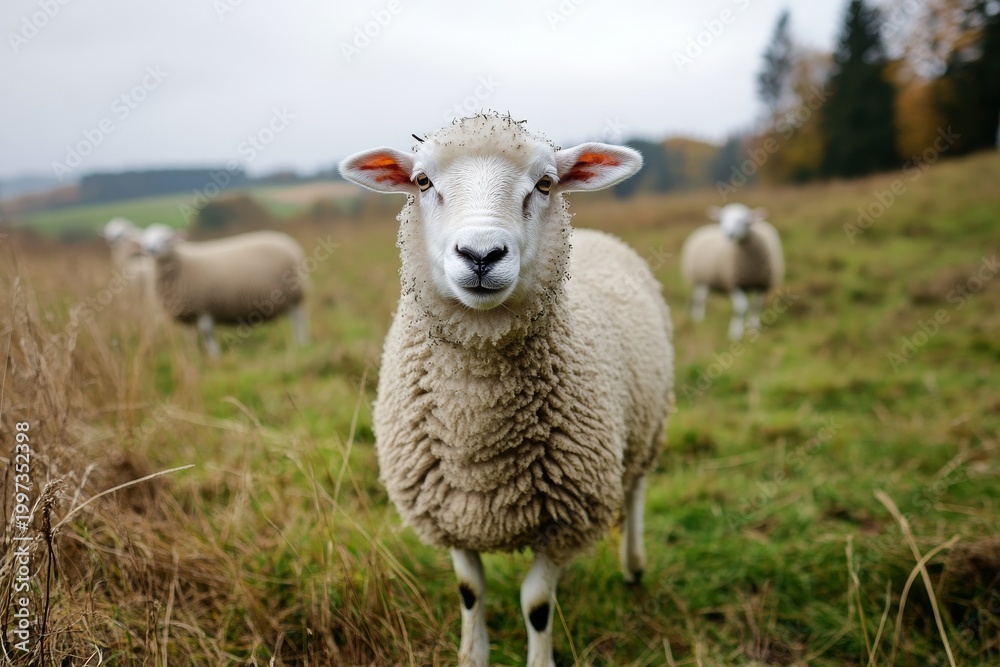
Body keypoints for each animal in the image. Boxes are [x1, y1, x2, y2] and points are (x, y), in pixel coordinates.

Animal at [140, 224, 309, 357]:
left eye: (166, 238)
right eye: (146, 238)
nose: (151, 249)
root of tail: (291, 245)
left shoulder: (203, 304)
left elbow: (207, 332)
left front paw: (214, 356)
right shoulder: (186, 314)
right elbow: (189, 337)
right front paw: (192, 356)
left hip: (293, 294)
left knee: (299, 318)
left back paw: (302, 343)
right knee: (294, 318)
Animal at [339, 112, 674, 667]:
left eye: (545, 183)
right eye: (422, 181)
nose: (481, 254)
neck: (477, 418)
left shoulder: (566, 520)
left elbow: (536, 603)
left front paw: (540, 657)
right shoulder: (448, 512)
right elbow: (470, 591)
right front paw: (471, 655)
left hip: (646, 426)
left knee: (636, 489)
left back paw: (634, 564)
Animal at [680, 203, 785, 340]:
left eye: (745, 221)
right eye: (722, 219)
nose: (729, 234)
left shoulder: (762, 284)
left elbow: (756, 306)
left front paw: (753, 329)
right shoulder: (734, 283)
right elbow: (740, 308)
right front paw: (735, 333)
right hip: (700, 279)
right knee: (699, 299)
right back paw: (698, 318)